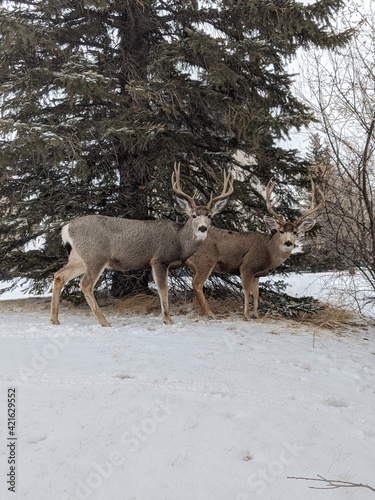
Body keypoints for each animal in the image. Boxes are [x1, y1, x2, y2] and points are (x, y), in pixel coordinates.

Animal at [48, 163, 234, 328]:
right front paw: (167, 319)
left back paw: (55, 320)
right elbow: (163, 288)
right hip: (96, 256)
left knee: (59, 275)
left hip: (79, 258)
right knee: (85, 284)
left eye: (209, 216)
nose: (202, 228)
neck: (180, 241)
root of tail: (66, 228)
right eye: (194, 215)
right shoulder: (159, 259)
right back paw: (104, 322)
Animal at [187, 180, 324, 320]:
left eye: (295, 232)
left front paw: (257, 315)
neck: (268, 251)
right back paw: (210, 313)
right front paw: (246, 316)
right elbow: (247, 292)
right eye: (281, 231)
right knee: (197, 284)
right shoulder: (247, 267)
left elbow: (257, 294)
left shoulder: (256, 274)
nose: (288, 242)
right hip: (206, 261)